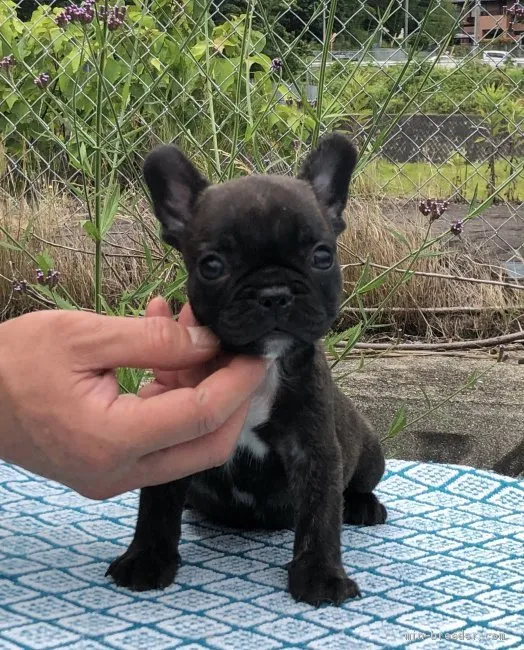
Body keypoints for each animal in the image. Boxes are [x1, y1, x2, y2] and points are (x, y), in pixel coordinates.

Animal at [106, 134, 386, 604]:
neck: (262, 363)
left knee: (357, 486)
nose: (274, 292)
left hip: (369, 454)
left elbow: (320, 516)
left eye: (322, 256)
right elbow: (157, 506)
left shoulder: (314, 451)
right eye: (212, 265)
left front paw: (320, 574)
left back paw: (363, 506)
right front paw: (145, 558)